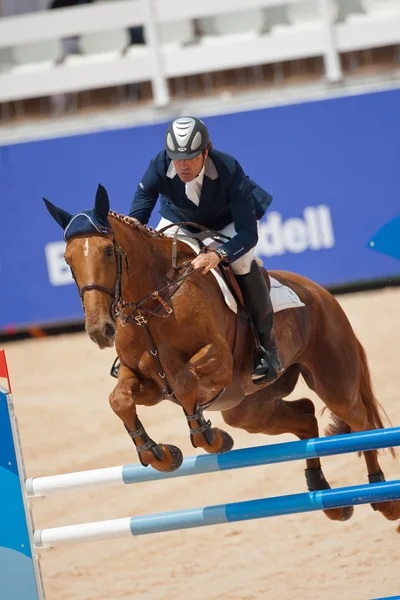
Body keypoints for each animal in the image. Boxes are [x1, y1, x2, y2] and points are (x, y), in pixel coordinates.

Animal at [44, 184, 400, 524]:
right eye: (67, 259)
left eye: (107, 251)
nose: (100, 330)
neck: (154, 304)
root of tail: (320, 292)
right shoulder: (147, 383)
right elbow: (119, 400)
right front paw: (159, 454)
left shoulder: (218, 361)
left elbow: (184, 382)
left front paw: (209, 437)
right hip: (248, 407)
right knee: (305, 414)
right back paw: (326, 495)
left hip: (333, 382)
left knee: (360, 423)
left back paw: (384, 499)